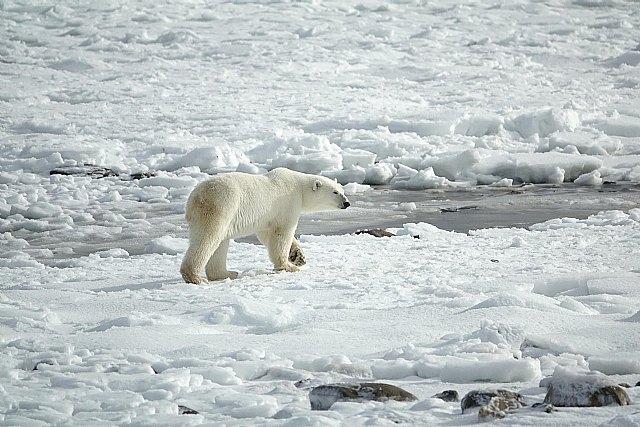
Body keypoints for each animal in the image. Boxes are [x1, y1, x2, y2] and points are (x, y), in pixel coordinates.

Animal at [180, 169, 350, 286]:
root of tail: (194, 198)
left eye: (342, 190)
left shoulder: (267, 216)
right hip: (221, 206)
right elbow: (282, 233)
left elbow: (266, 234)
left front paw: (298, 256)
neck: (299, 188)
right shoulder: (287, 204)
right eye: (335, 192)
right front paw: (288, 266)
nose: (347, 203)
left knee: (220, 242)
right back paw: (195, 277)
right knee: (208, 238)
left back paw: (228, 273)